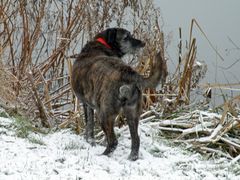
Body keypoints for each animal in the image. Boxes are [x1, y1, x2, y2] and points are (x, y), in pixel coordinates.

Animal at [71, 27, 165, 160]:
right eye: (126, 37)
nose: (143, 43)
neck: (102, 44)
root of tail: (129, 73)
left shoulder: (86, 104)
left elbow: (89, 125)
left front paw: (90, 142)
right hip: (132, 113)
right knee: (136, 139)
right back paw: (132, 158)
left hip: (104, 114)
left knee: (113, 141)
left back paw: (103, 155)